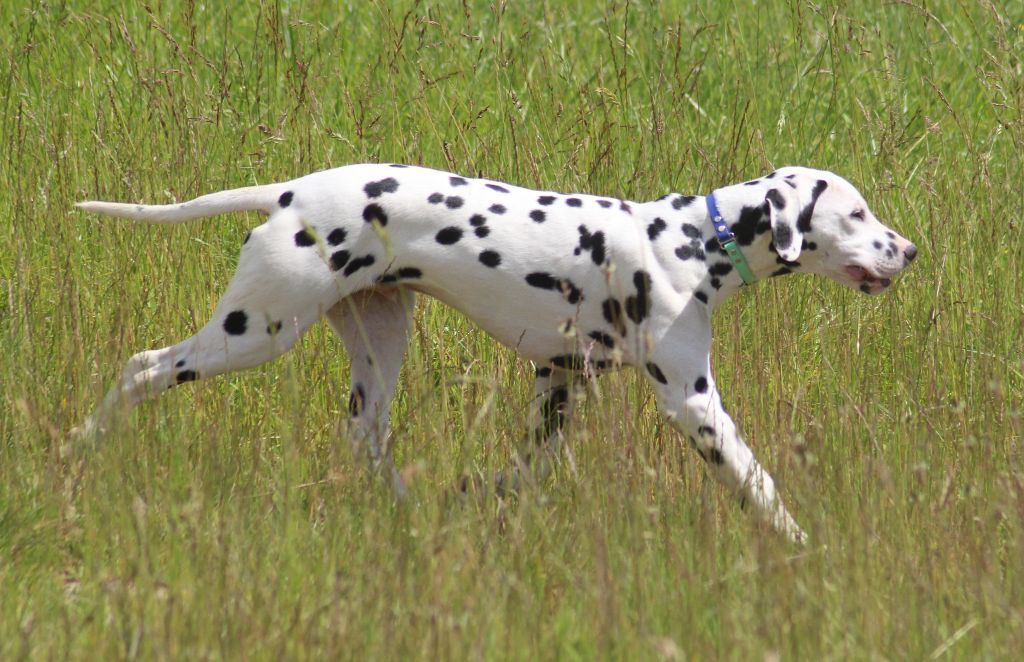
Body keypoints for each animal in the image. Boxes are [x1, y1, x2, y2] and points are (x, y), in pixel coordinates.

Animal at [74, 164, 921, 545]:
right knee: (142, 368)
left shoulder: (560, 382)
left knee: (366, 437)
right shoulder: (692, 400)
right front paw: (804, 548)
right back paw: (81, 450)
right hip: (256, 329)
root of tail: (290, 192)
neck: (688, 241)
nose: (909, 250)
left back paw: (405, 515)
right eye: (856, 213)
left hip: (378, 347)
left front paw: (476, 501)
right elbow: (756, 478)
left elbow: (521, 472)